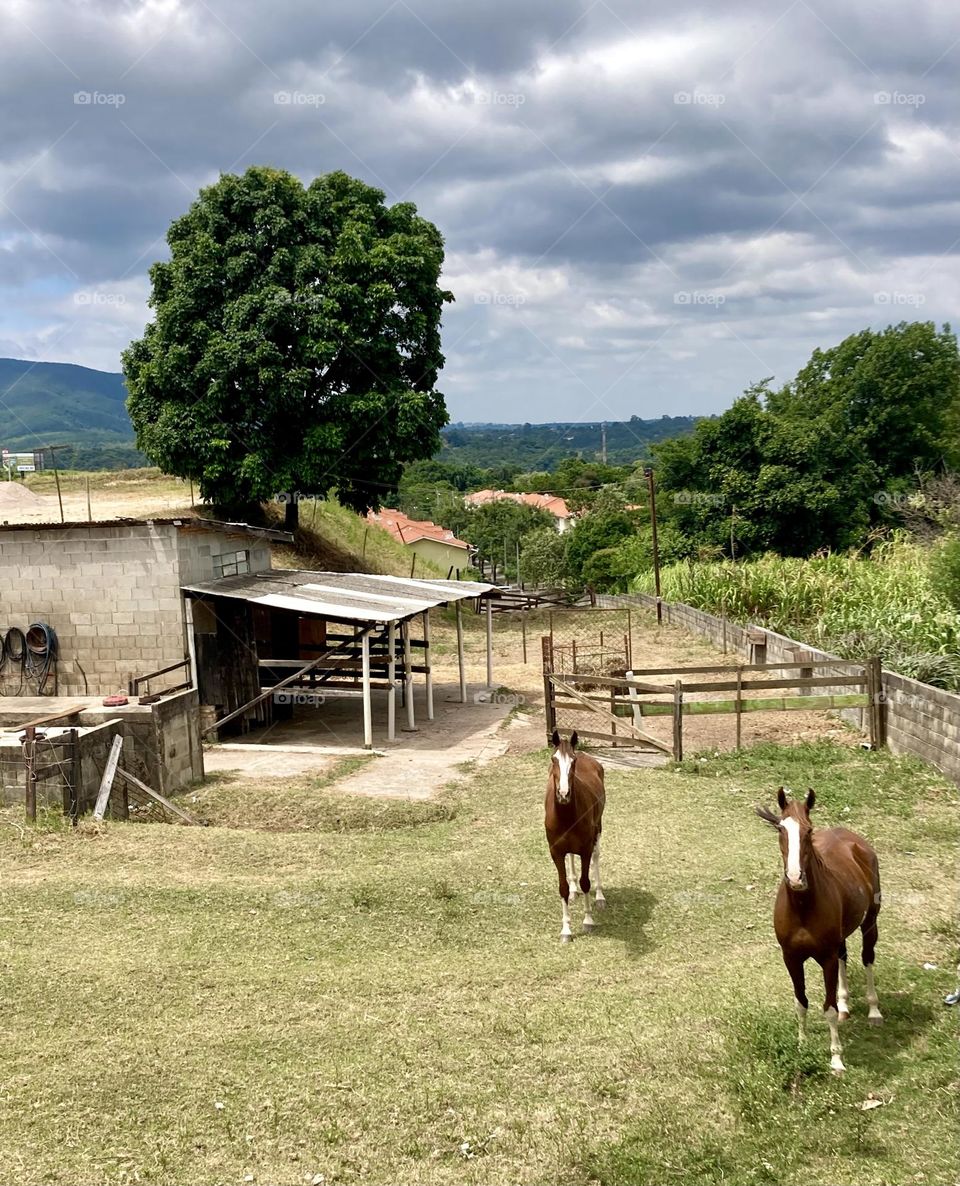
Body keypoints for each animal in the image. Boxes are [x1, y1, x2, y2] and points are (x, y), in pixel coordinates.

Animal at [543, 725, 602, 939]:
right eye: (554, 759)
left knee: (596, 856)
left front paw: (588, 920)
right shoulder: (556, 851)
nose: (563, 794)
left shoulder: (585, 849)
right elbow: (563, 888)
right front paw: (566, 929)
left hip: (598, 828)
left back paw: (600, 896)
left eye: (573, 760)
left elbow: (586, 882)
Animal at [754, 787, 882, 1076]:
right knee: (845, 956)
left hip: (870, 922)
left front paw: (836, 1060)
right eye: (780, 828)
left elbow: (828, 1008)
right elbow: (801, 1001)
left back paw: (874, 1011)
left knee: (867, 958)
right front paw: (801, 1046)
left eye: (809, 830)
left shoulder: (826, 958)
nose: (795, 878)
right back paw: (846, 1006)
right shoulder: (790, 957)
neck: (803, 908)